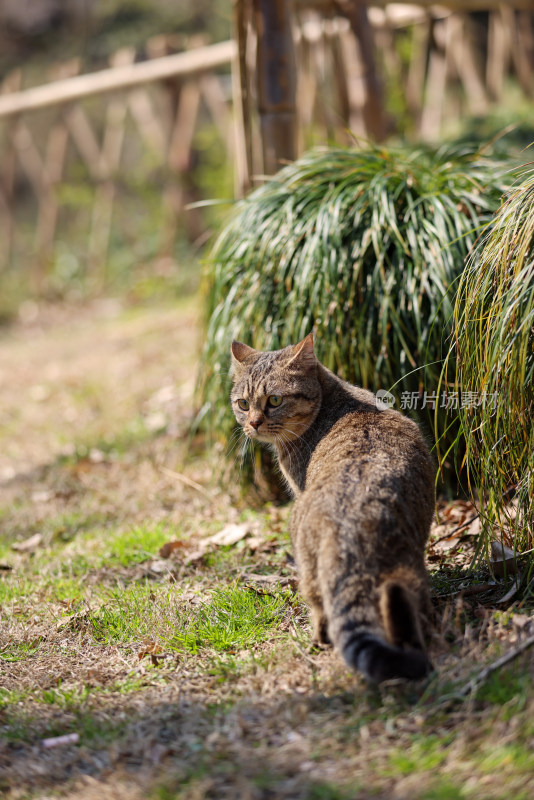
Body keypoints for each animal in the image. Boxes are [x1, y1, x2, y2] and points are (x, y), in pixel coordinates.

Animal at [230, 332, 436, 680]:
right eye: (243, 404)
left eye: (274, 400)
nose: (254, 424)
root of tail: (350, 525)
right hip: (405, 573)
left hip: (306, 558)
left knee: (321, 609)